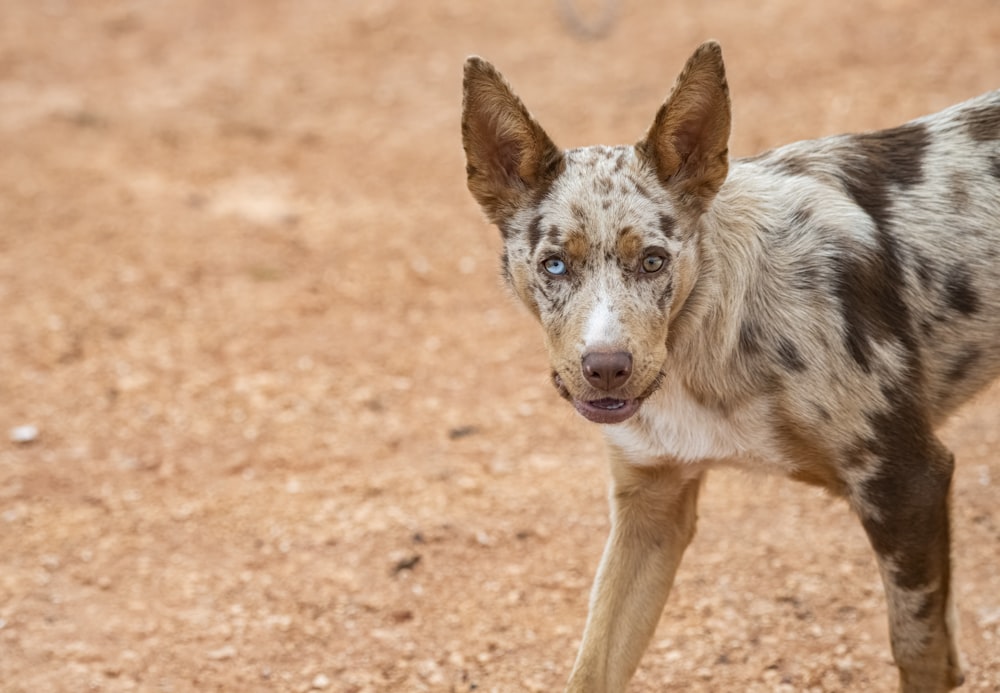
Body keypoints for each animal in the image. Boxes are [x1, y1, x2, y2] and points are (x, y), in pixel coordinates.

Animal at [462, 42, 1000, 692]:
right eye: (555, 266)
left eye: (653, 261)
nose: (607, 368)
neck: (704, 345)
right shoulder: (652, 508)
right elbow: (592, 668)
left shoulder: (906, 481)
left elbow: (919, 652)